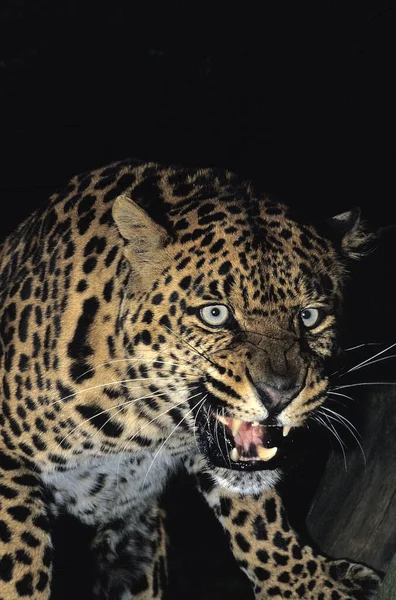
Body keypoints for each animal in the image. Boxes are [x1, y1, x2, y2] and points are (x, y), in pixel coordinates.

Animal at [0, 157, 382, 596]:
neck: (144, 427)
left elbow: (258, 516)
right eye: (215, 313)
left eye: (309, 316)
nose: (279, 394)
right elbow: (18, 560)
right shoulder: (7, 462)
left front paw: (303, 583)